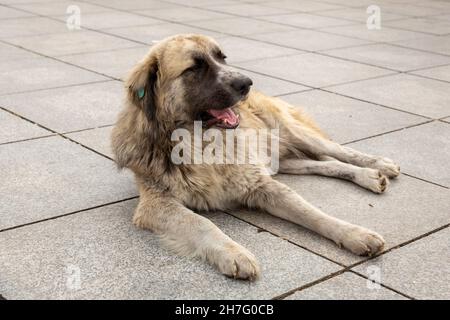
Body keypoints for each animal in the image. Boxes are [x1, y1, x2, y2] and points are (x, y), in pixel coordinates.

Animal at [110, 34, 400, 280]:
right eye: (194, 68)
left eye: (222, 58)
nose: (246, 83)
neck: (201, 144)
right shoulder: (157, 204)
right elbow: (201, 223)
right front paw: (234, 253)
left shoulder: (261, 185)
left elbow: (311, 213)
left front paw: (353, 233)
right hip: (284, 161)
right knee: (324, 165)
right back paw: (370, 176)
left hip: (292, 132)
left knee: (337, 150)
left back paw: (375, 167)